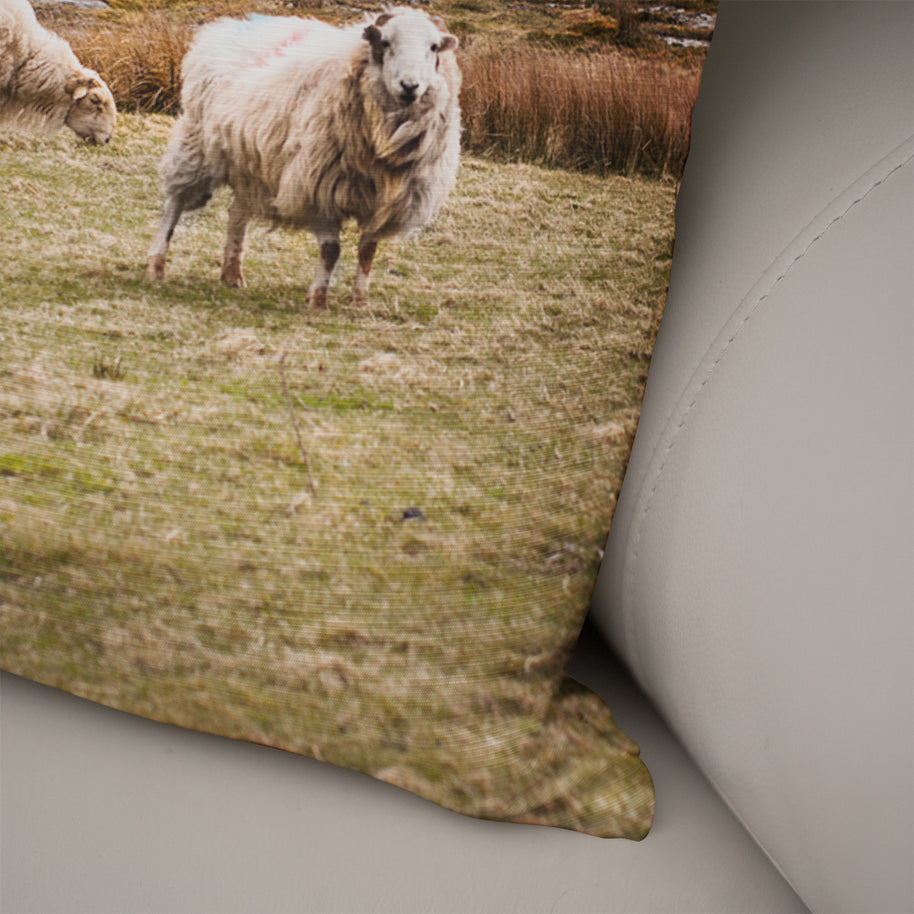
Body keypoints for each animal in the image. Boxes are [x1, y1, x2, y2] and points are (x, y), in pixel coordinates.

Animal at [146, 7, 461, 308]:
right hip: (196, 146)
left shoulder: (387, 202)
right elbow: (331, 250)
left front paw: (360, 302)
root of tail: (225, 26)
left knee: (236, 212)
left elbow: (368, 251)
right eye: (386, 42)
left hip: (251, 164)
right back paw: (156, 265)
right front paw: (318, 300)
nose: (410, 86)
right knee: (174, 205)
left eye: (433, 47)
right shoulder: (318, 187)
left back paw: (232, 274)